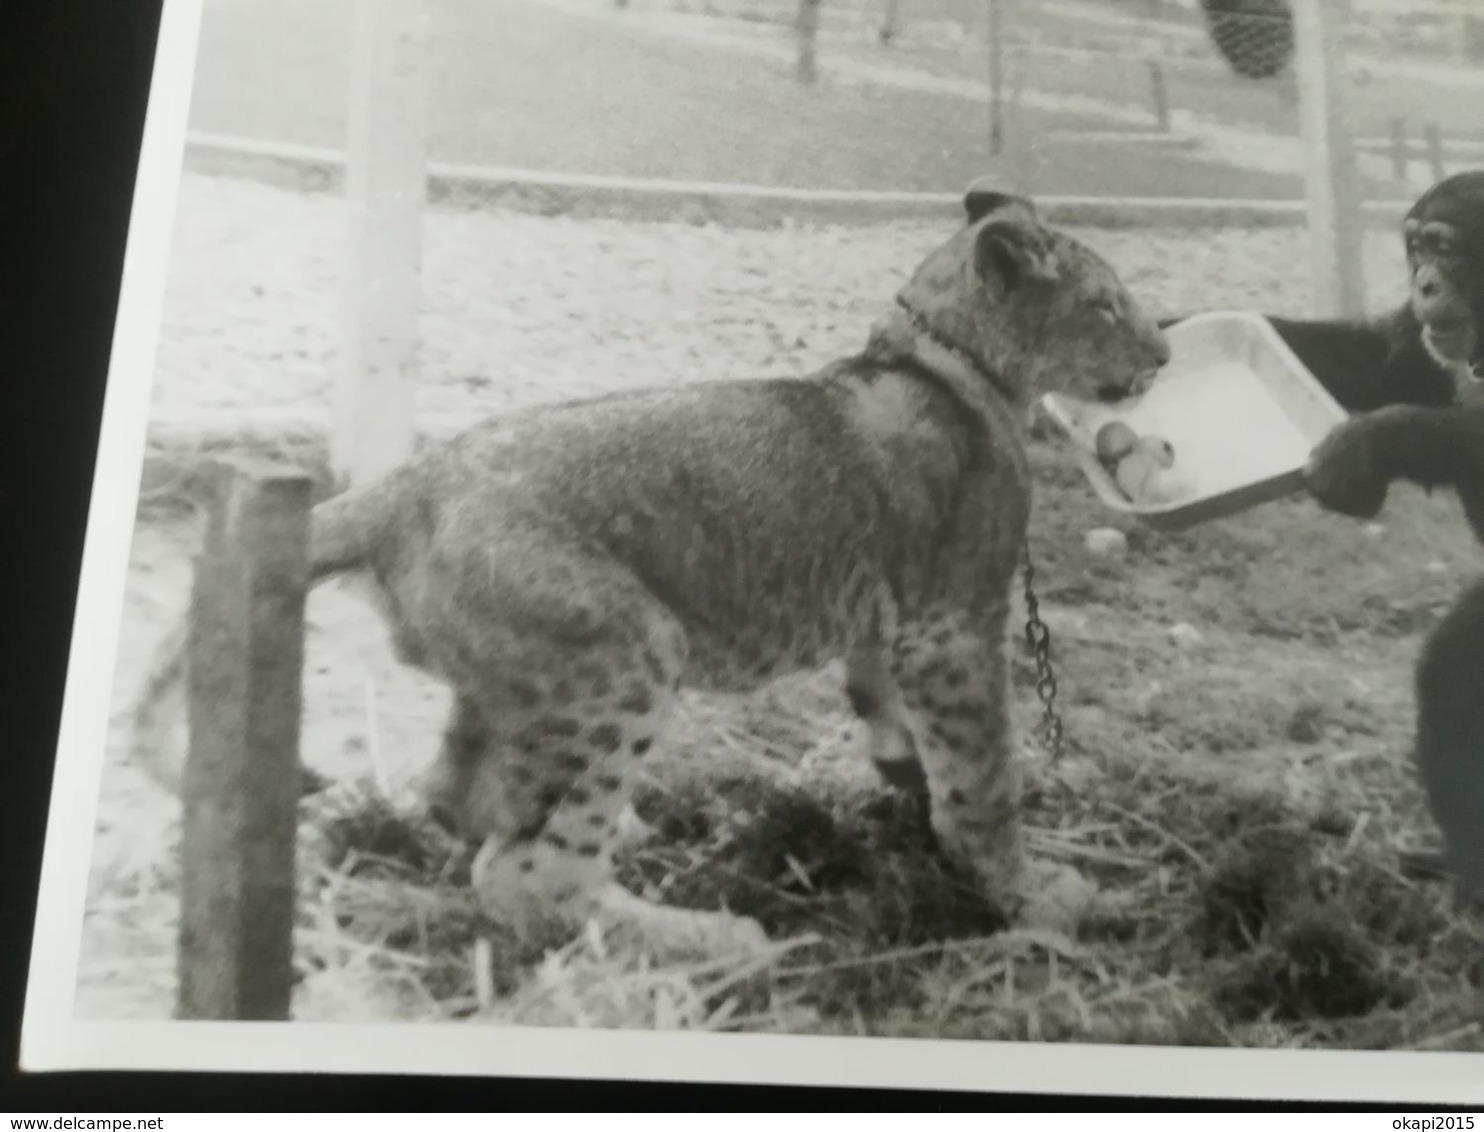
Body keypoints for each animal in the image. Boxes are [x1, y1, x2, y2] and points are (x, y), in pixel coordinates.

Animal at [1163, 172, 1478, 907]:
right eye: (1416, 249)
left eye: (1445, 249)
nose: (1425, 282)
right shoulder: (1416, 344)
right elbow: (1377, 360)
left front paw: (1368, 443)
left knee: (1452, 672)